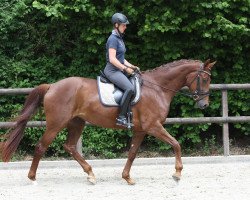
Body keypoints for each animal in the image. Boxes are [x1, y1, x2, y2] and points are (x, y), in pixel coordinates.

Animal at [0, 58, 215, 185]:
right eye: (204, 79)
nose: (204, 105)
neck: (157, 88)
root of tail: (52, 86)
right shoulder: (153, 126)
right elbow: (176, 144)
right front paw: (177, 173)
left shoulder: (140, 130)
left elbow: (132, 153)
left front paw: (127, 177)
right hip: (56, 123)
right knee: (41, 146)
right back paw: (32, 177)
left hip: (77, 122)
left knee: (70, 146)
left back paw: (90, 174)